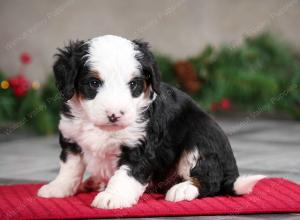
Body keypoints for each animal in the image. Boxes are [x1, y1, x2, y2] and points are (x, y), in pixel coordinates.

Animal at [37, 35, 264, 209]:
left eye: (133, 84)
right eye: (93, 83)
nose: (115, 115)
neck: (104, 129)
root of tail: (231, 174)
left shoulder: (141, 147)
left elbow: (126, 174)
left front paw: (113, 196)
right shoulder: (71, 138)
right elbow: (70, 168)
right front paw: (58, 187)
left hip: (200, 139)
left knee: (211, 180)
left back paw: (183, 188)